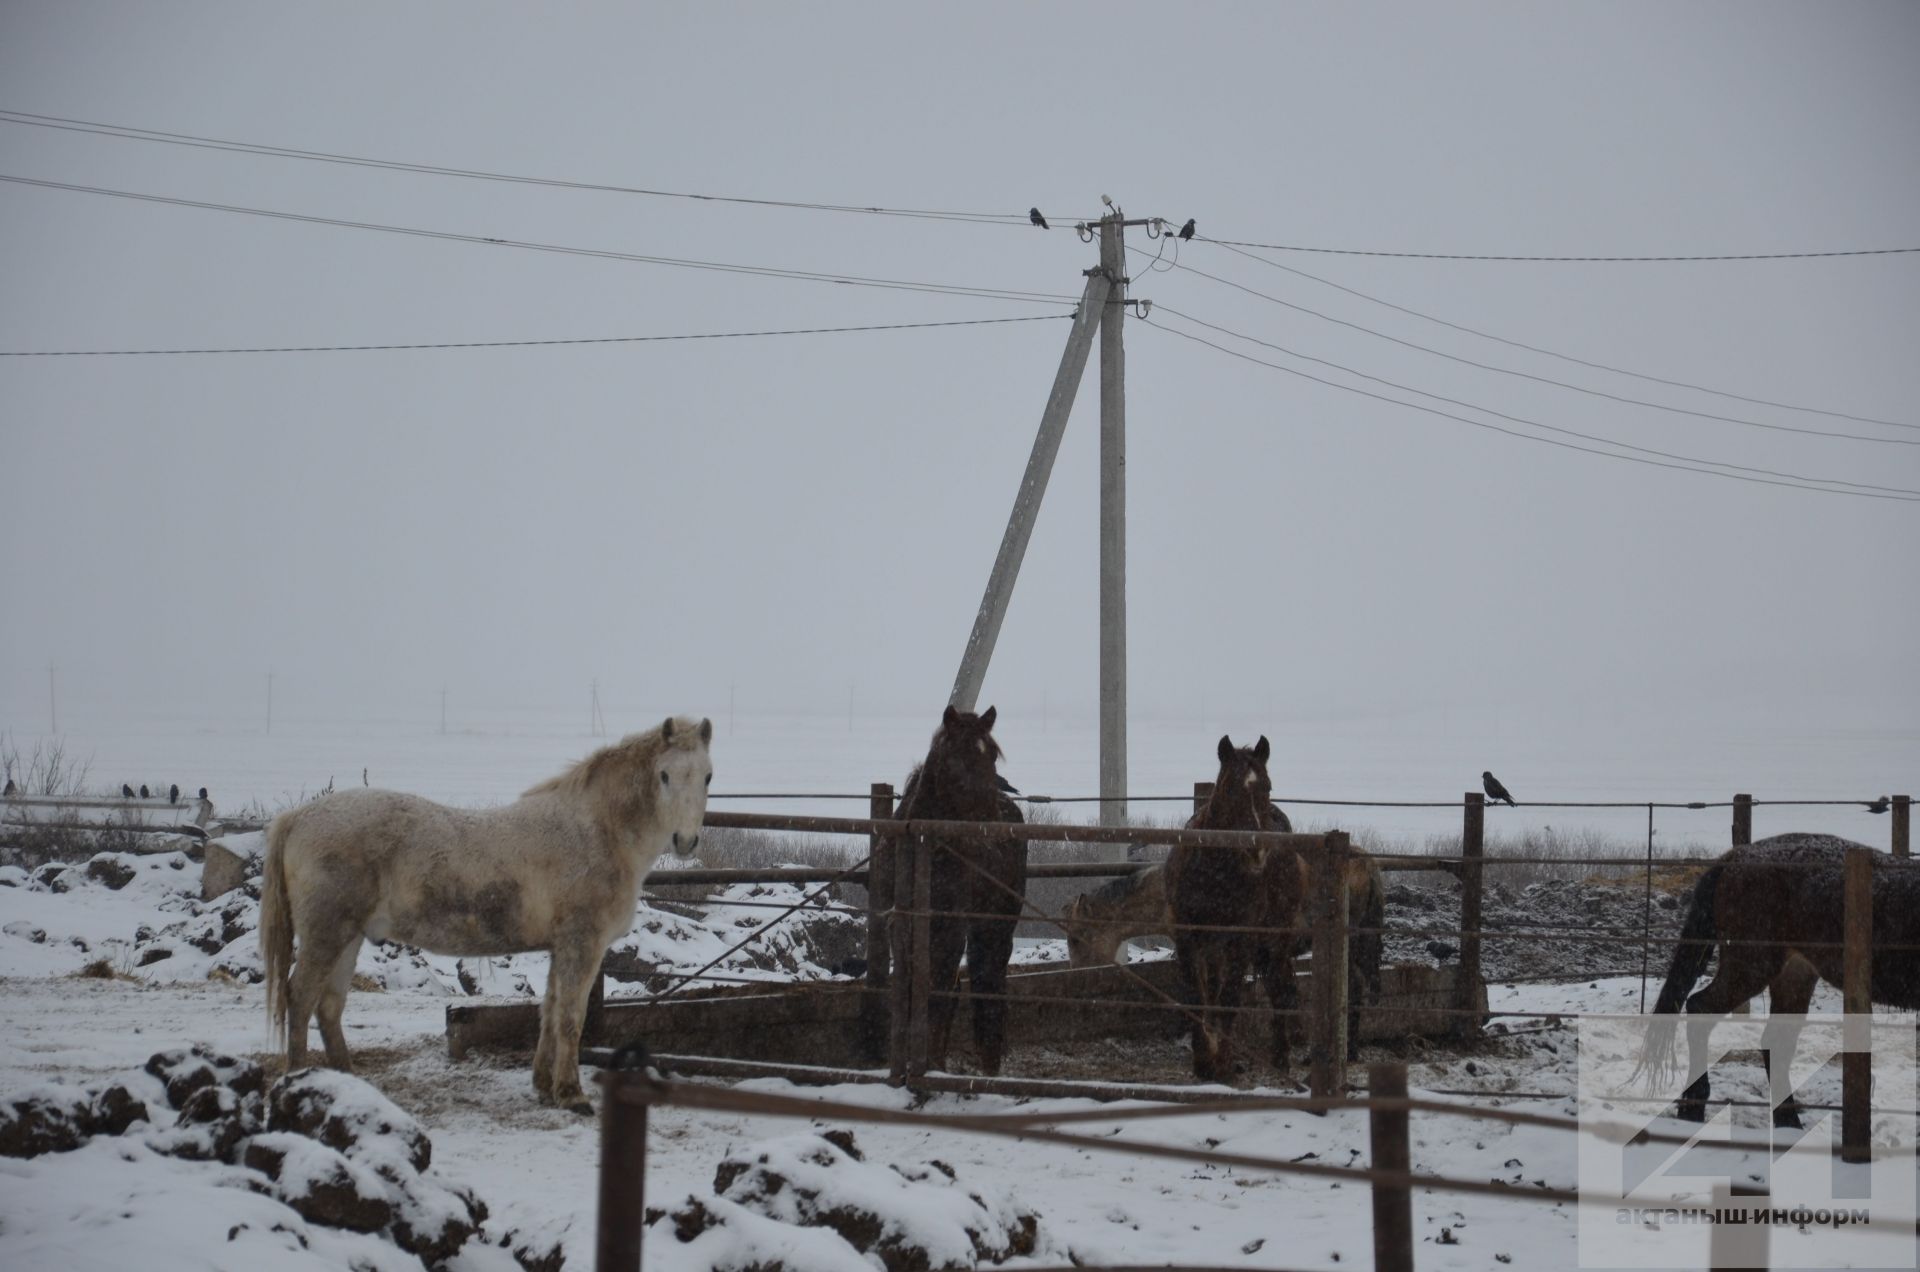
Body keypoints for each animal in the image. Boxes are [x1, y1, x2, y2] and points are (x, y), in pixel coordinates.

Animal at [261, 718, 714, 1114]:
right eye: (664, 775)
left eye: (707, 776)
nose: (686, 841)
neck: (596, 832)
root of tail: (298, 818)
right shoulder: (581, 945)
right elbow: (571, 1018)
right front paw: (572, 1095)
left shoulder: (560, 948)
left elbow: (549, 1013)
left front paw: (543, 1087)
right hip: (326, 935)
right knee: (300, 998)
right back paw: (299, 1079)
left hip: (348, 937)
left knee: (329, 1006)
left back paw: (349, 1083)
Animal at [875, 707, 1029, 1076]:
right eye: (956, 757)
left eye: (992, 757)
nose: (991, 828)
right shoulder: (899, 925)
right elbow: (912, 990)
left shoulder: (951, 927)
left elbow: (937, 994)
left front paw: (928, 1067)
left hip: (994, 927)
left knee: (988, 987)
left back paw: (988, 1068)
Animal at [1159, 737, 1313, 1083]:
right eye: (1230, 788)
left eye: (1268, 786)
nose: (1256, 850)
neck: (1214, 871)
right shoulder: (1189, 938)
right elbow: (1198, 997)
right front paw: (1204, 1061)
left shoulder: (1240, 940)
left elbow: (1229, 999)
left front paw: (1223, 1064)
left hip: (1274, 939)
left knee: (1280, 986)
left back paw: (1280, 1057)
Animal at [1635, 837, 1920, 1129]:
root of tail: (1735, 857)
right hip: (1752, 966)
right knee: (1700, 1010)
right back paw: (1693, 1108)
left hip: (1794, 974)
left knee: (1775, 1042)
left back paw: (1787, 1121)